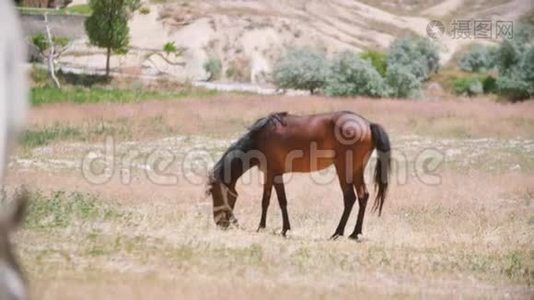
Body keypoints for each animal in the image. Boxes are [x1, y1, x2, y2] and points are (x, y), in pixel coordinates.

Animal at [207, 110, 392, 239]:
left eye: (214, 193)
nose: (219, 223)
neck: (260, 138)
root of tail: (368, 124)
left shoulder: (275, 174)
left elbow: (280, 201)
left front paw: (281, 229)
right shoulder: (270, 174)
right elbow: (266, 201)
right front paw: (264, 227)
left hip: (344, 169)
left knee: (350, 198)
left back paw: (338, 233)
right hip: (356, 170)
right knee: (362, 196)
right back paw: (354, 233)